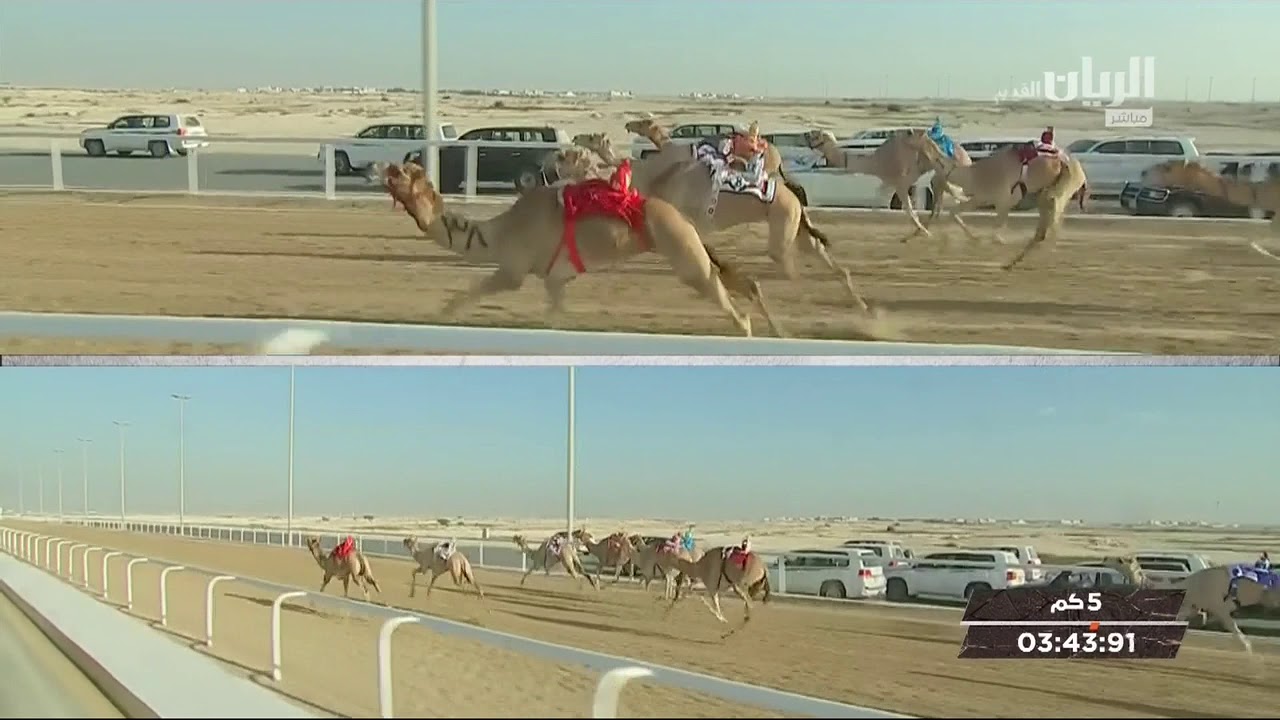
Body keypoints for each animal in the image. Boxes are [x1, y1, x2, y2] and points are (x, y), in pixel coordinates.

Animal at [380, 160, 770, 337]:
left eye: (401, 173)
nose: (382, 167)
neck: (499, 232)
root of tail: (683, 218)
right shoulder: (555, 279)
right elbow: (555, 317)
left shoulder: (513, 270)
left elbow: (475, 290)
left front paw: (439, 315)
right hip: (689, 245)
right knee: (744, 284)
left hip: (683, 251)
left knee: (725, 297)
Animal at [573, 127, 868, 311]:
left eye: (592, 137)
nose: (576, 138)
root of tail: (793, 196)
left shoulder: (692, 223)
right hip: (797, 228)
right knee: (826, 259)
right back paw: (864, 309)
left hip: (784, 226)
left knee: (791, 269)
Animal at [803, 128, 960, 239]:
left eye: (817, 135)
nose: (806, 135)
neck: (876, 163)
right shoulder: (895, 185)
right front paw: (918, 234)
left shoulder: (900, 183)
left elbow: (910, 211)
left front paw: (925, 233)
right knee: (941, 197)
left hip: (935, 162)